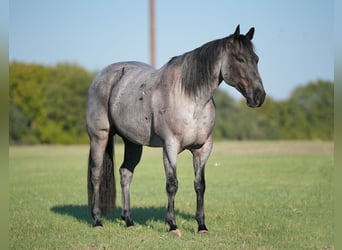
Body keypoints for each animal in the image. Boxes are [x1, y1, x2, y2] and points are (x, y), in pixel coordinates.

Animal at [85, 24, 264, 235]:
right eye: (240, 59)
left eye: (256, 59)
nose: (259, 97)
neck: (190, 98)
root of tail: (101, 77)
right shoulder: (170, 146)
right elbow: (172, 184)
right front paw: (172, 225)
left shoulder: (203, 148)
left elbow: (200, 185)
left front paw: (201, 226)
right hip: (99, 137)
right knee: (96, 174)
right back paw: (97, 220)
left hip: (133, 142)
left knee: (125, 173)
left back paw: (128, 220)